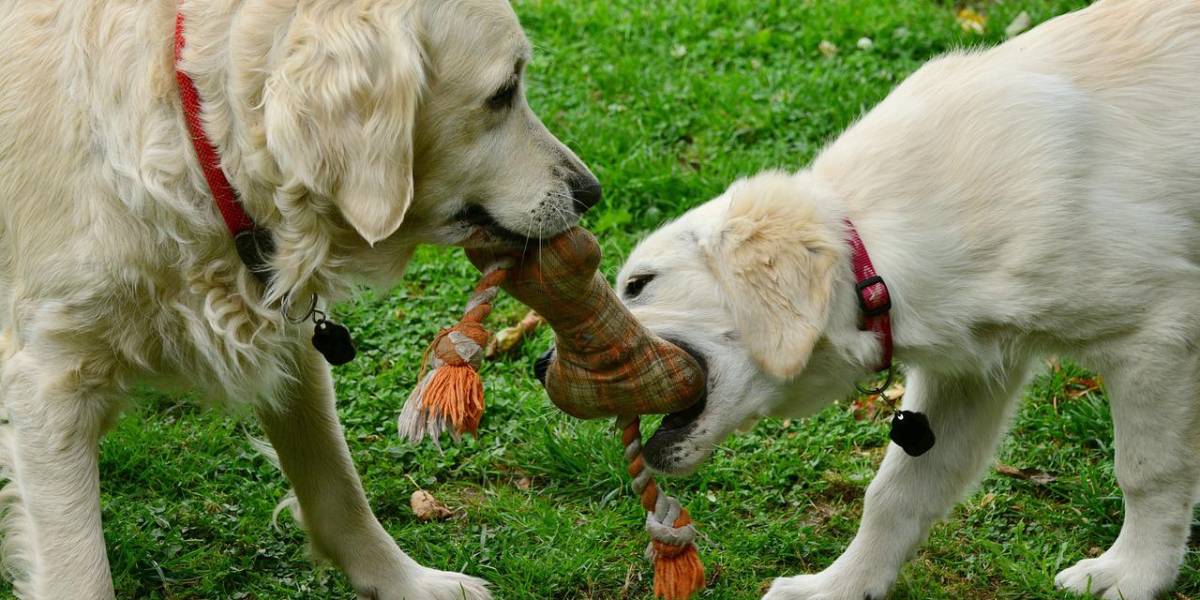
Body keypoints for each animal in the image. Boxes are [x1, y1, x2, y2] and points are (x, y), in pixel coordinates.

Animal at [0, 1, 600, 600]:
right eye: (503, 92)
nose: (590, 192)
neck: (199, 138)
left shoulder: (292, 340)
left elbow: (336, 485)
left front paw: (408, 582)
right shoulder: (52, 383)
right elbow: (80, 570)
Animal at [614, 2, 1200, 597]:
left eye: (639, 283)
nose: (567, 365)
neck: (872, 256)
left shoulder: (1157, 332)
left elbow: (1148, 471)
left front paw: (1133, 575)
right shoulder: (969, 375)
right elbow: (896, 494)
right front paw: (840, 586)